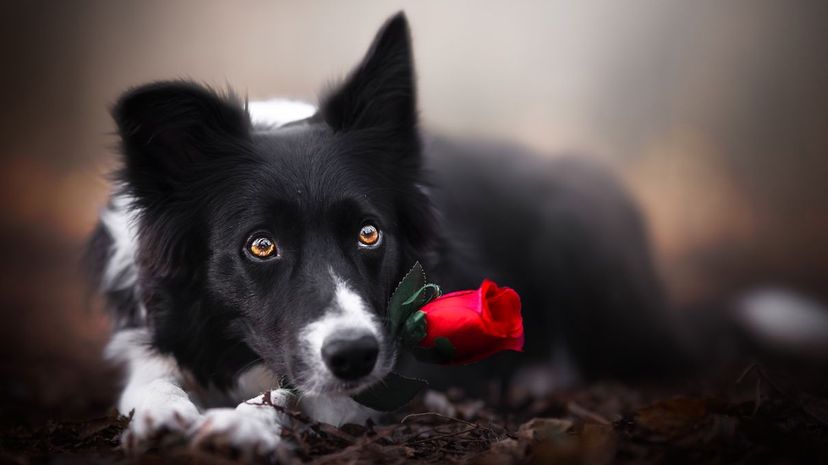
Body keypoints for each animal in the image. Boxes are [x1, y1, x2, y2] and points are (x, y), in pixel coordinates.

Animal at [89, 11, 700, 454]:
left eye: (368, 233)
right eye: (260, 245)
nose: (354, 355)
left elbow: (301, 396)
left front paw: (247, 424)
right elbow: (152, 380)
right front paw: (161, 413)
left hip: (580, 233)